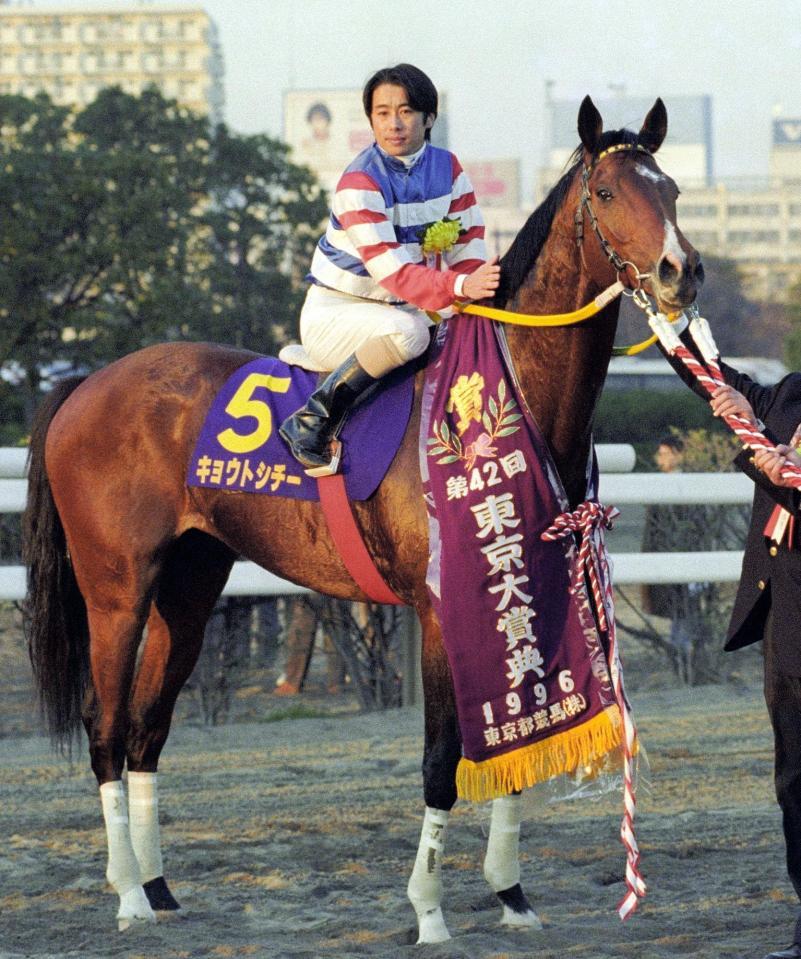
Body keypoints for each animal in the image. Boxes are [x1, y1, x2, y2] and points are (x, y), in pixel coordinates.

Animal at [23, 95, 700, 936]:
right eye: (607, 193)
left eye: (671, 190)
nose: (680, 271)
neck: (512, 395)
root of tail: (85, 382)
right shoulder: (442, 609)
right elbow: (442, 759)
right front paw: (430, 910)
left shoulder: (522, 583)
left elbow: (512, 757)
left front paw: (511, 895)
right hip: (117, 590)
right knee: (107, 726)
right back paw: (125, 895)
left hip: (189, 585)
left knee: (149, 725)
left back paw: (157, 886)